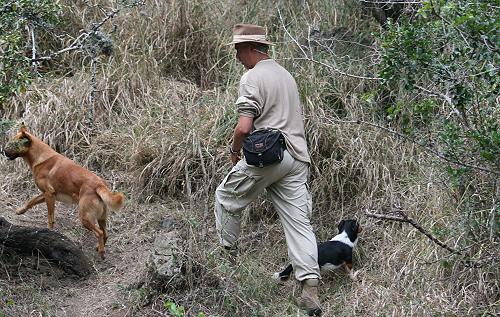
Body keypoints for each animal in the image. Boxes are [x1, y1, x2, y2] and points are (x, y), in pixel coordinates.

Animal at [3, 125, 124, 256]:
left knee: (100, 233)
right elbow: (31, 201)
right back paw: (99, 247)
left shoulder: (49, 194)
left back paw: (101, 251)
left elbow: (50, 217)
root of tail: (99, 184)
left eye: (13, 144)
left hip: (84, 217)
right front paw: (21, 210)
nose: (3, 151)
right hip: (101, 218)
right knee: (106, 234)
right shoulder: (47, 194)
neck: (40, 157)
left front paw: (49, 232)